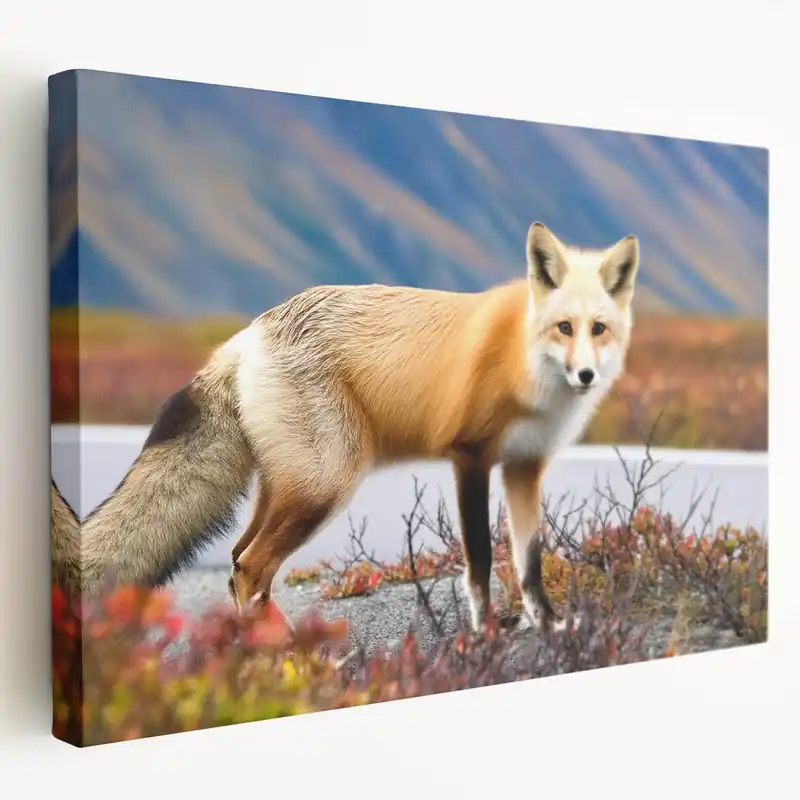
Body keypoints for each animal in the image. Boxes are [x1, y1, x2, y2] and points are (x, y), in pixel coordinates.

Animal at [72, 221, 640, 633]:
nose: (586, 375)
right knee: (250, 566)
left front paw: (549, 627)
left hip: (290, 488)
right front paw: (488, 635)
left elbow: (529, 562)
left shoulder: (524, 466)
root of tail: (251, 331)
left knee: (237, 563)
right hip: (324, 486)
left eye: (599, 330)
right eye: (563, 328)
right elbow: (480, 561)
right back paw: (293, 660)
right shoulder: (472, 458)